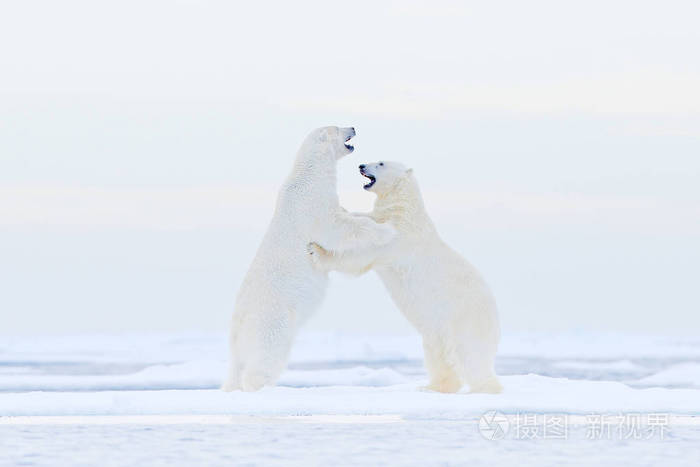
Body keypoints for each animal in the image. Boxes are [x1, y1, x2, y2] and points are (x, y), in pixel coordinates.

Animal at [222, 127, 396, 392]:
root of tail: (236, 333)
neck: (309, 174)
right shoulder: (312, 203)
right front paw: (386, 230)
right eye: (338, 126)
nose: (353, 127)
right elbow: (337, 227)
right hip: (272, 324)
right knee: (265, 360)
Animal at [308, 161, 502, 394]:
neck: (406, 212)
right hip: (436, 331)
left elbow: (361, 255)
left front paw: (317, 251)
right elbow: (366, 219)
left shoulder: (397, 238)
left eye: (381, 162)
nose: (361, 165)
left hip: (464, 318)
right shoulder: (385, 221)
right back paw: (431, 387)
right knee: (439, 357)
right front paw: (343, 210)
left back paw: (484, 389)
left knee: (471, 357)